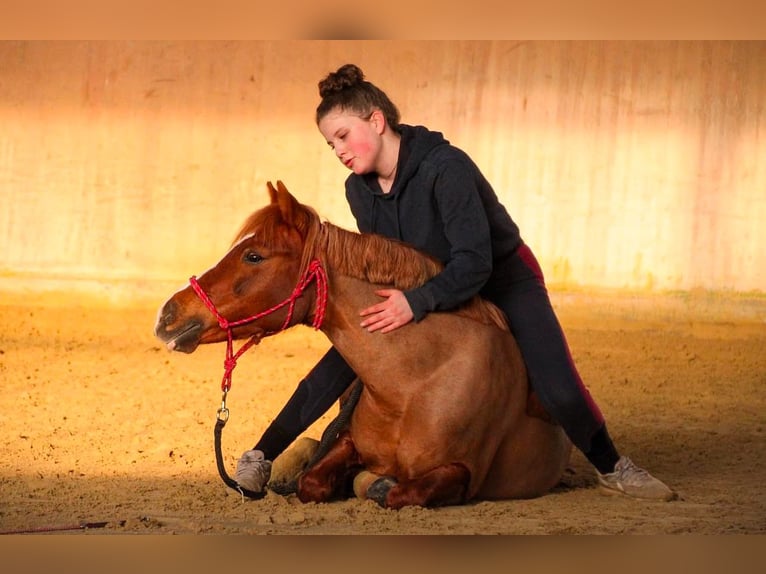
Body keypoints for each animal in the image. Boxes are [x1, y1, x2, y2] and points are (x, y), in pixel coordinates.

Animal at [154, 182, 568, 510]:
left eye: (253, 256)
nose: (167, 314)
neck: (415, 384)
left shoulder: (463, 471)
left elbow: (400, 493)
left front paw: (378, 483)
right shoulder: (347, 441)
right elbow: (311, 482)